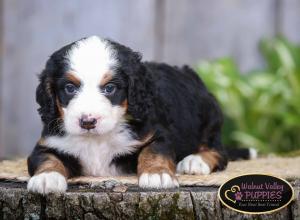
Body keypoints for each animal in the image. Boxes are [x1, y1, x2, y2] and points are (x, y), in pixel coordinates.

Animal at [27, 36, 255, 194]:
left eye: (110, 88)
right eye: (69, 88)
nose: (88, 121)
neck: (98, 139)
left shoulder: (157, 133)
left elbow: (153, 151)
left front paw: (157, 175)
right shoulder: (48, 142)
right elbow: (46, 157)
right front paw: (46, 178)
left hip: (210, 115)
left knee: (219, 151)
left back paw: (195, 161)